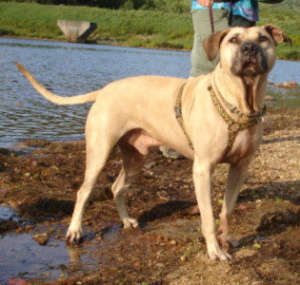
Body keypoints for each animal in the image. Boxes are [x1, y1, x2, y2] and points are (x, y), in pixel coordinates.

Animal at [15, 25, 290, 260]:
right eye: (234, 40)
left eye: (262, 39)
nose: (250, 49)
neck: (240, 103)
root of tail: (104, 90)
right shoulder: (203, 169)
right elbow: (208, 216)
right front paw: (215, 251)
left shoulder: (240, 168)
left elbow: (228, 209)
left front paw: (228, 238)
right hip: (99, 153)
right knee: (83, 192)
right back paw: (75, 231)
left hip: (135, 158)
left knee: (117, 187)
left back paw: (126, 221)